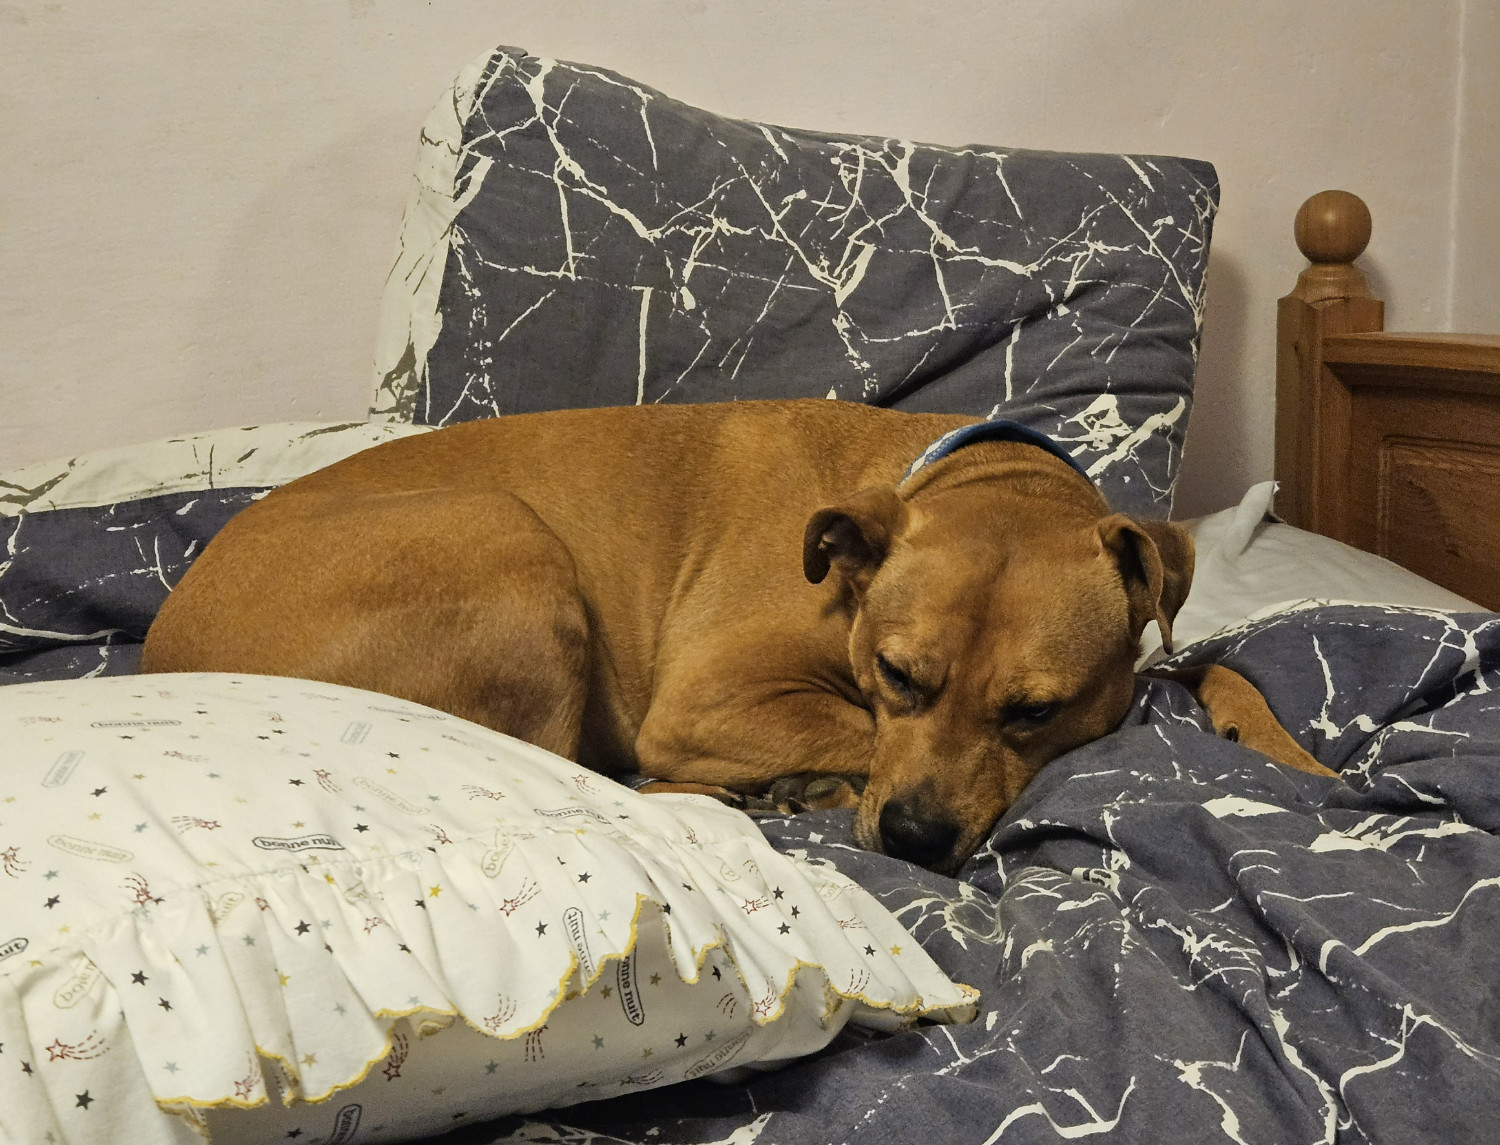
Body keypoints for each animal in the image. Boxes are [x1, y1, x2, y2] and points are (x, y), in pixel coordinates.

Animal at [143, 399, 1338, 870]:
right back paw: (753, 795)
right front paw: (827, 775)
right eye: (897, 673)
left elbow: (1207, 665)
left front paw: (1289, 751)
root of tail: (158, 655)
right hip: (510, 546)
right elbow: (856, 733)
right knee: (584, 774)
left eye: (1033, 710)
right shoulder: (711, 697)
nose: (911, 840)